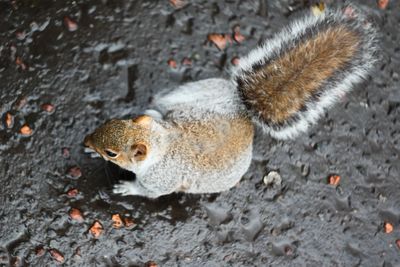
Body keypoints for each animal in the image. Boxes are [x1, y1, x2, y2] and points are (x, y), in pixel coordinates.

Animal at [83, 4, 378, 199]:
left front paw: (126, 187)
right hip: (192, 92)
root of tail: (244, 113)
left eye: (113, 153)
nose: (86, 141)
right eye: (114, 121)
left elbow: (149, 192)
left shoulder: (161, 179)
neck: (161, 141)